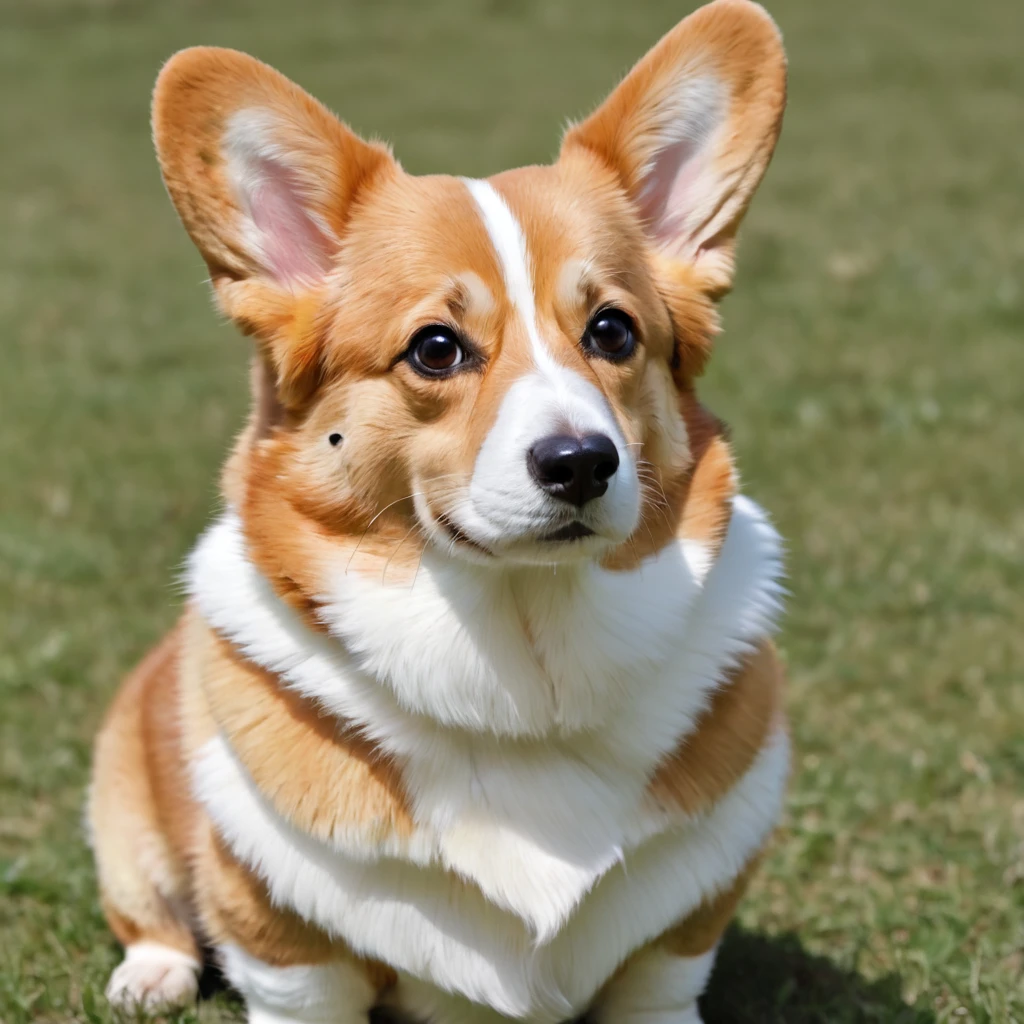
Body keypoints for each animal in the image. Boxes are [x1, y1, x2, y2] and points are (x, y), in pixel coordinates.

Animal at [90, 4, 790, 1019]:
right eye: (436, 349)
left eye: (613, 330)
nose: (582, 462)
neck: (527, 673)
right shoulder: (290, 957)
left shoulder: (676, 940)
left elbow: (660, 970)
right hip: (123, 803)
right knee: (151, 911)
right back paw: (151, 974)